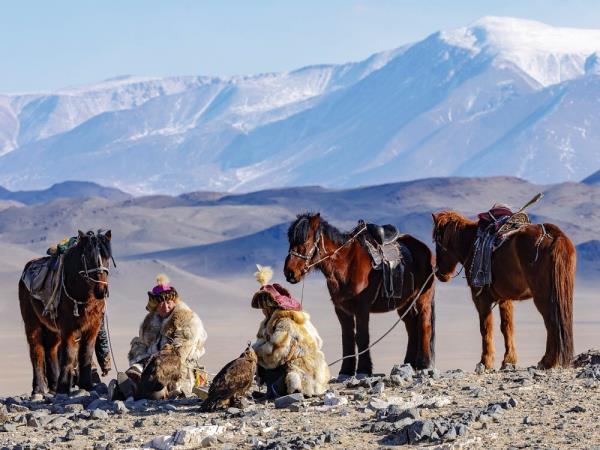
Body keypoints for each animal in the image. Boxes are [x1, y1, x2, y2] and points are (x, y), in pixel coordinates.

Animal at [19, 230, 114, 392]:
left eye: (107, 257)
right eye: (88, 257)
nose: (101, 290)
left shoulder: (93, 326)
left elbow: (86, 353)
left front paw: (86, 384)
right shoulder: (68, 327)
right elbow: (69, 354)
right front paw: (64, 386)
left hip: (52, 328)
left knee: (50, 349)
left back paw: (53, 384)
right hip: (32, 323)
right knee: (36, 351)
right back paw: (39, 388)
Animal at [284, 214, 434, 376]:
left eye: (305, 240)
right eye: (290, 241)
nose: (289, 272)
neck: (346, 264)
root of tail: (426, 250)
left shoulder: (362, 307)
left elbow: (362, 336)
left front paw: (364, 369)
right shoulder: (341, 309)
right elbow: (347, 337)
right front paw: (346, 370)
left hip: (423, 297)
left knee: (424, 325)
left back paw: (424, 364)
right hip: (405, 303)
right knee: (411, 327)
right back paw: (409, 362)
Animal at [434, 211, 576, 370]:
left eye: (437, 241)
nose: (440, 273)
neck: (471, 244)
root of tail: (554, 236)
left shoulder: (480, 298)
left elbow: (485, 327)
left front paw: (485, 362)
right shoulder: (505, 298)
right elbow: (507, 327)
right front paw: (508, 360)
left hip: (543, 297)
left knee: (551, 323)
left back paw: (548, 361)